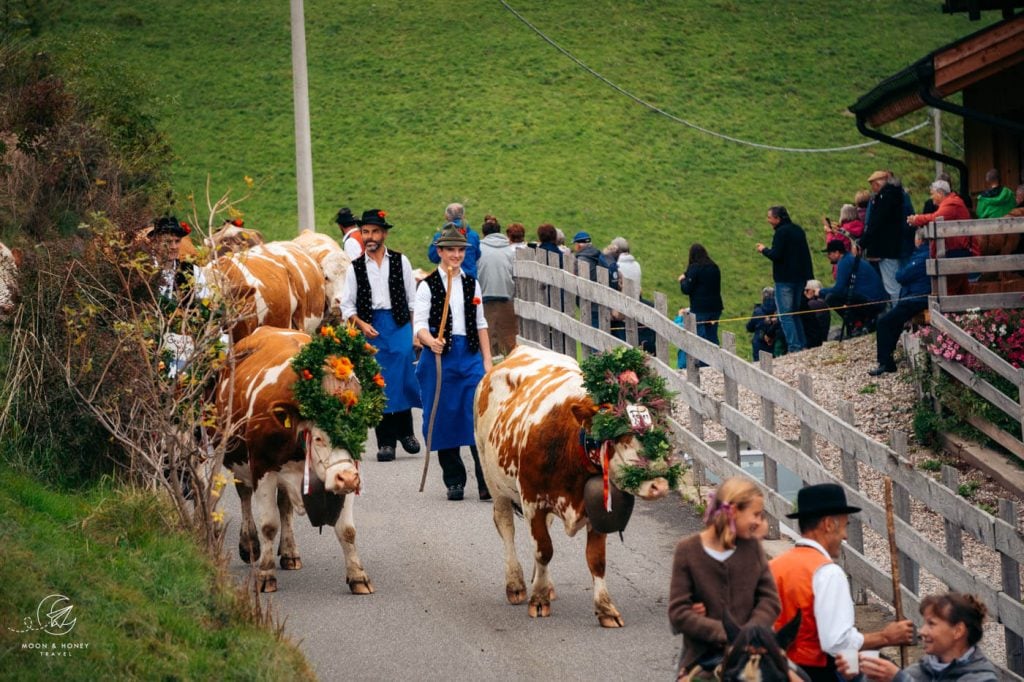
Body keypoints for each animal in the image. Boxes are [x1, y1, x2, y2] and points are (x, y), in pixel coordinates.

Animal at [218, 321, 385, 593]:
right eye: (318, 438)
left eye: (358, 432)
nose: (347, 478)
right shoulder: (262, 468)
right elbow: (268, 525)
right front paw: (265, 575)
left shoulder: (349, 472)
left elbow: (347, 530)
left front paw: (358, 576)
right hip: (237, 458)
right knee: (244, 495)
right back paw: (249, 544)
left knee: (284, 505)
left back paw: (289, 552)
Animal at [475, 346, 684, 626]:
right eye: (620, 434)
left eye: (658, 430)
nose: (658, 485)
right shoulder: (532, 502)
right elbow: (544, 550)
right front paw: (538, 600)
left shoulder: (595, 509)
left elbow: (596, 560)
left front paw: (605, 608)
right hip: (493, 480)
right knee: (506, 526)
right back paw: (516, 584)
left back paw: (545, 583)